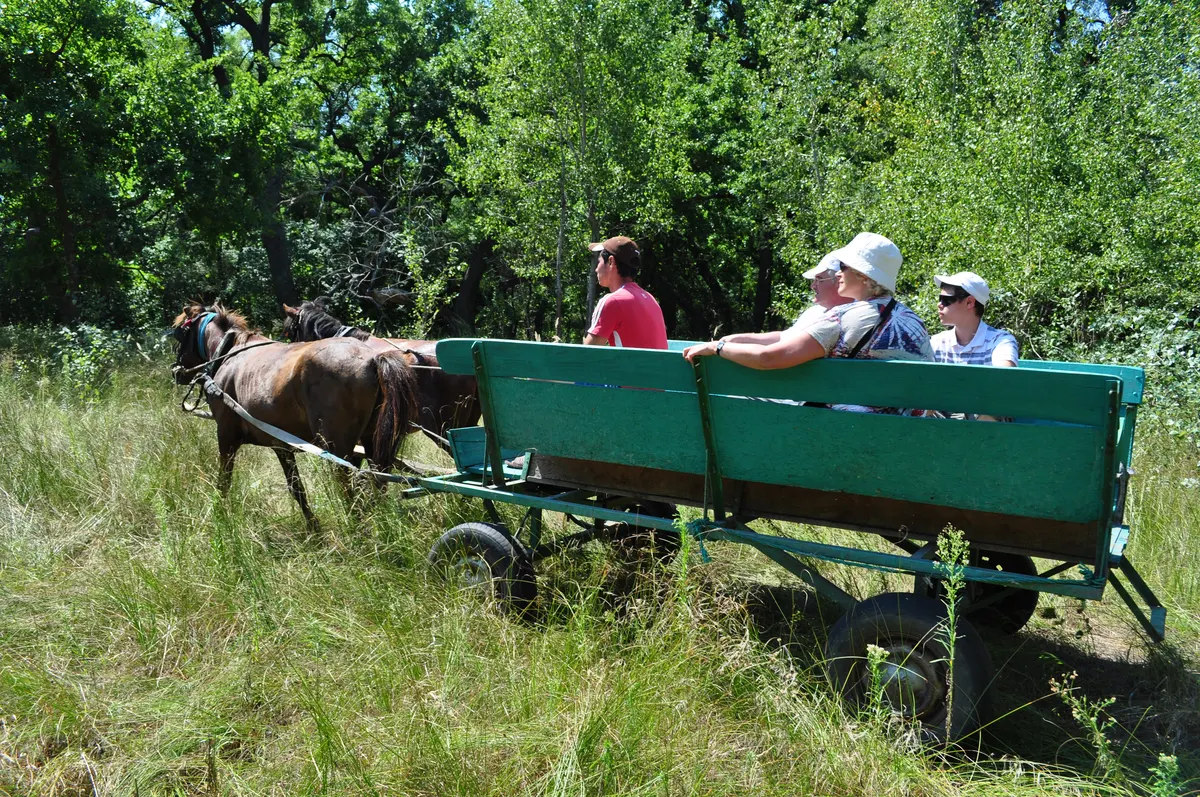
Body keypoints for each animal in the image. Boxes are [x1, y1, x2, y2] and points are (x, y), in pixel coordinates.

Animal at [171, 303, 418, 524]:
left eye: (180, 334)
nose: (176, 371)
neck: (228, 354)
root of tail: (372, 359)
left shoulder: (226, 435)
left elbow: (224, 481)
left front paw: (221, 516)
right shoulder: (281, 444)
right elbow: (296, 488)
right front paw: (313, 528)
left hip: (337, 448)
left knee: (349, 489)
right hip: (372, 442)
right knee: (378, 482)